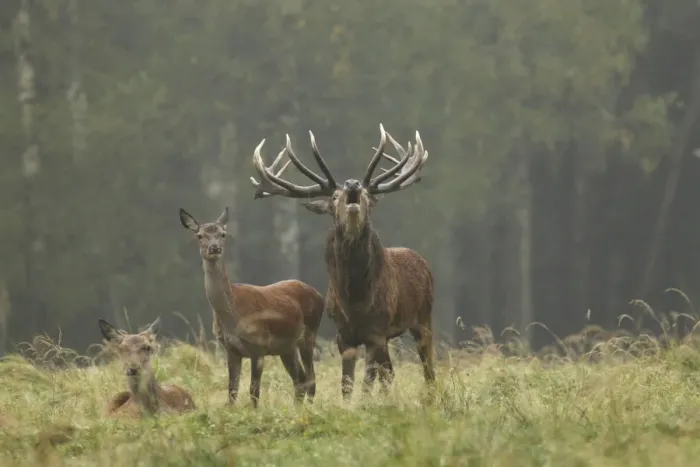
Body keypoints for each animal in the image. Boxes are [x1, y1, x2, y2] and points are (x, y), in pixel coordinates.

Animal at [179, 204, 325, 408]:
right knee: (300, 379)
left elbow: (254, 391)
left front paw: (255, 412)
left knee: (311, 379)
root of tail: (319, 295)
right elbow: (232, 391)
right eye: (199, 235)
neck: (233, 317)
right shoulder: (230, 350)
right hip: (287, 347)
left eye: (223, 233)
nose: (214, 248)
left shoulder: (259, 345)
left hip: (309, 334)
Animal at [249, 123, 434, 401]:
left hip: (423, 317)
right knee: (389, 373)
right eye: (334, 196)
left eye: (367, 195)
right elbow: (347, 383)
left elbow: (368, 382)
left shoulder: (376, 330)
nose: (353, 184)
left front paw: (366, 403)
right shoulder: (344, 335)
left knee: (428, 367)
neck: (356, 300)